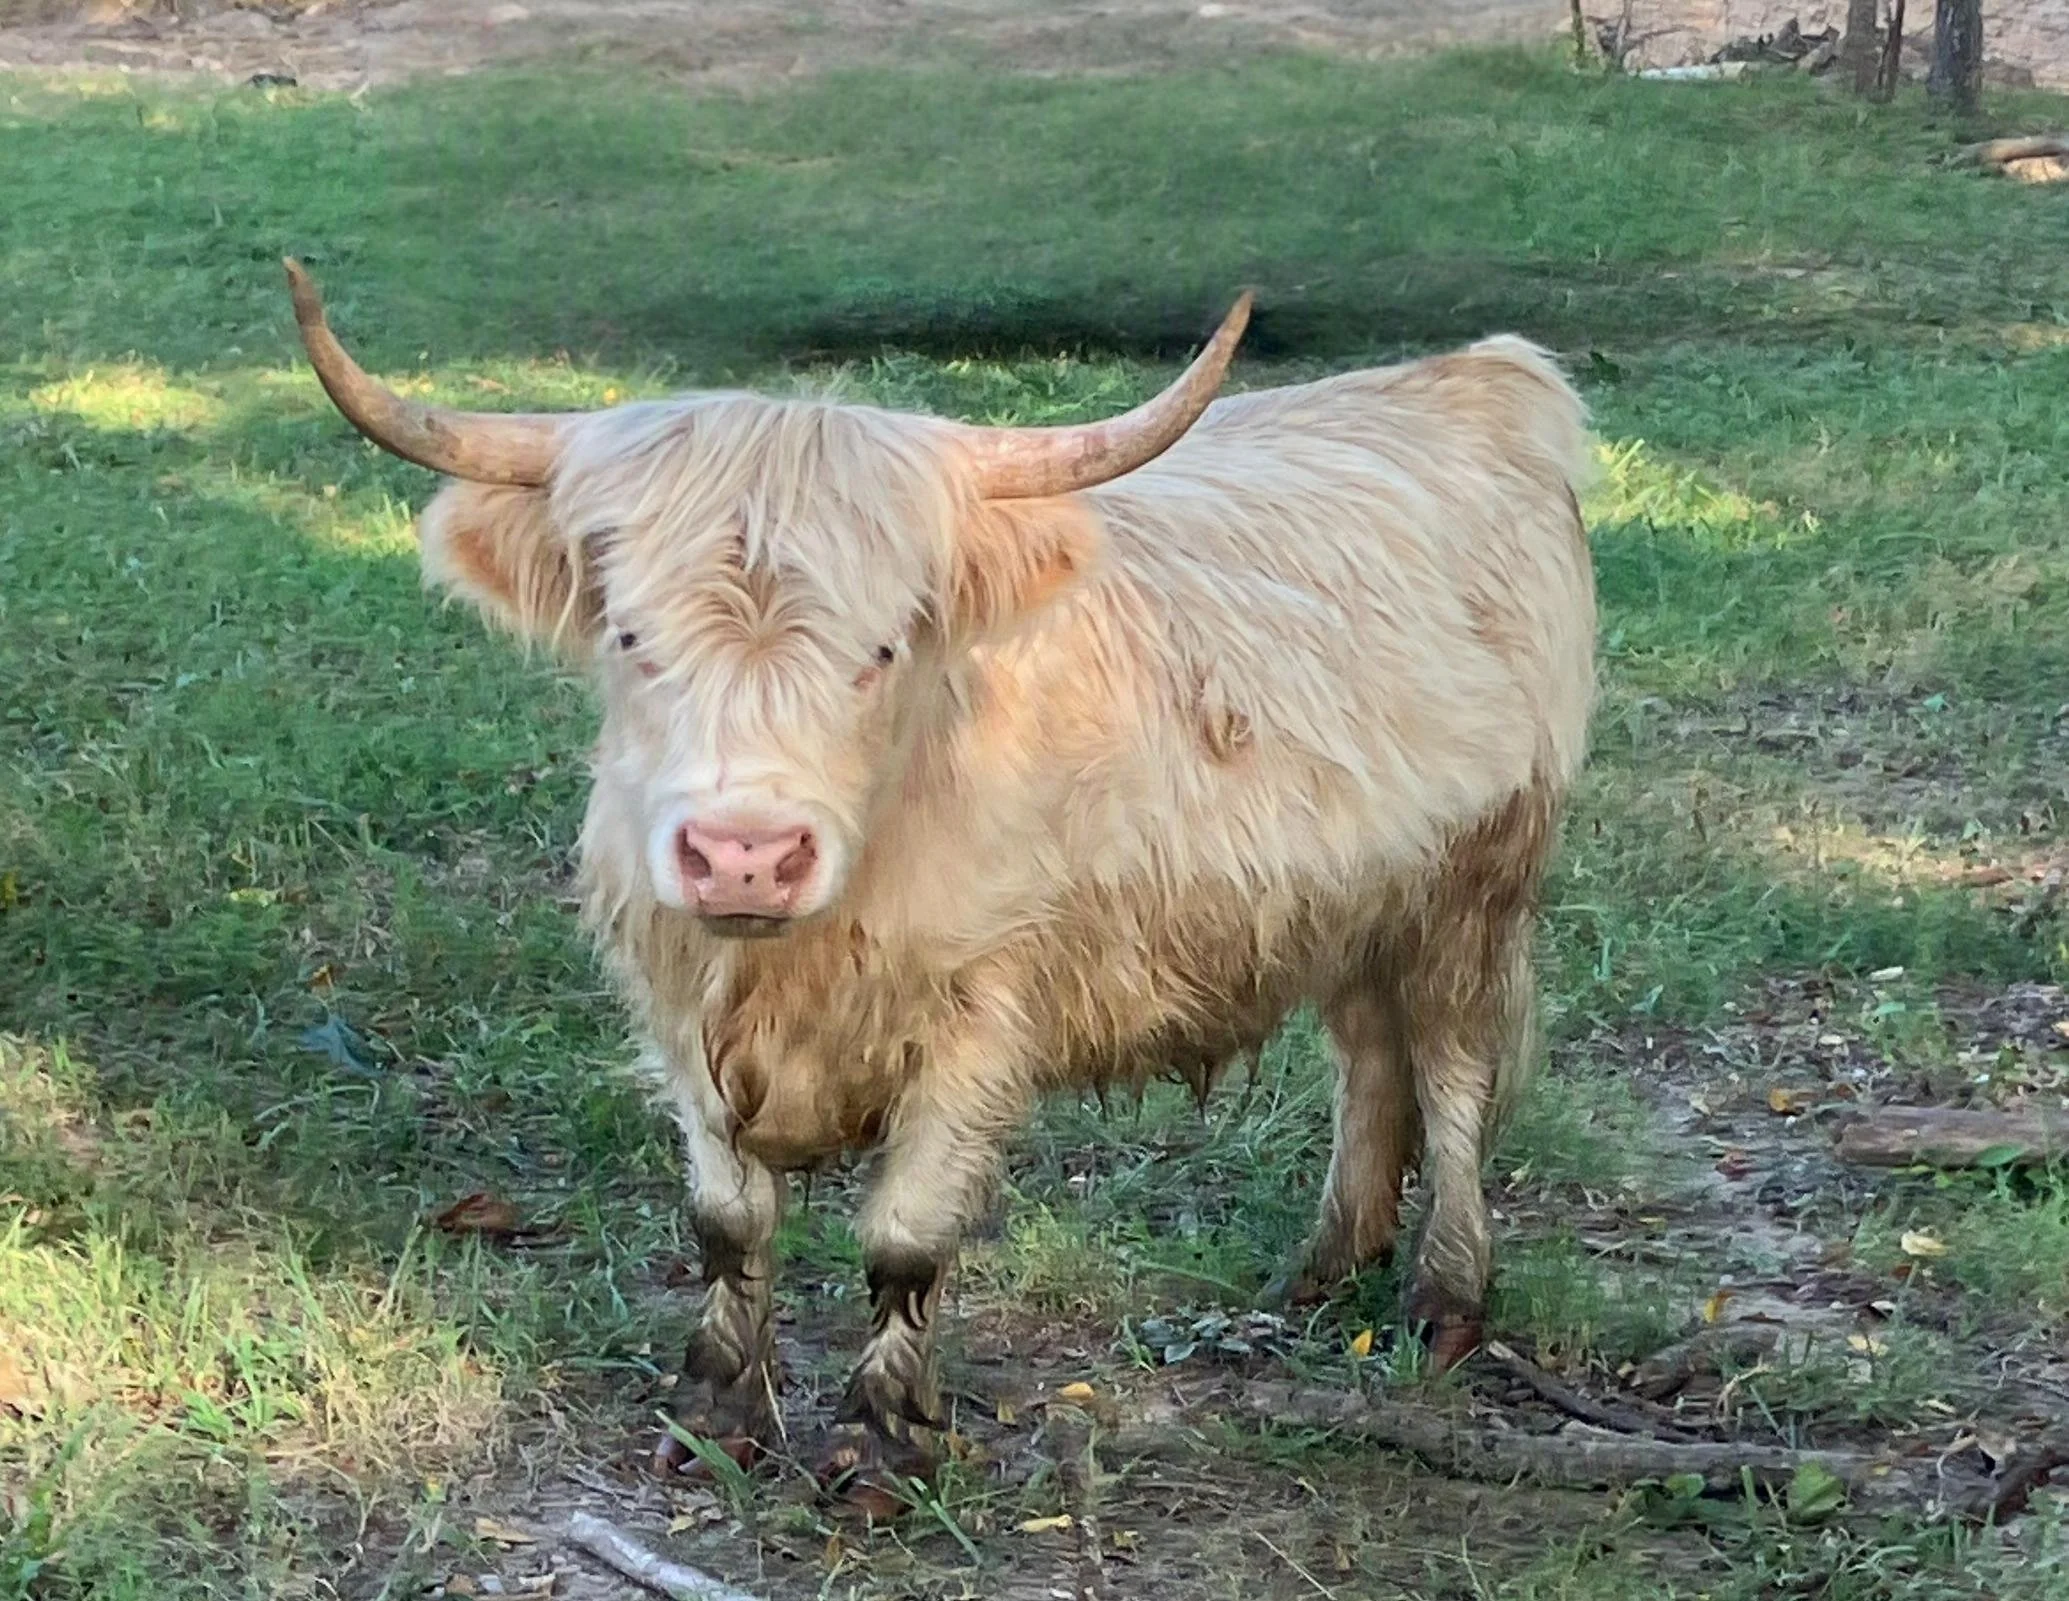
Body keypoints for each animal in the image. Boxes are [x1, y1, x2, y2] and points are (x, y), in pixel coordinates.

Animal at [281, 260, 1596, 1497]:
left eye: (879, 648)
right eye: (630, 636)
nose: (746, 852)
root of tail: (1478, 373)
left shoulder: (982, 1016)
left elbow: (904, 1237)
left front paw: (878, 1447)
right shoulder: (670, 991)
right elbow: (726, 1220)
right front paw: (712, 1418)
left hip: (1476, 882)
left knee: (1453, 1066)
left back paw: (1444, 1298)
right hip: (1354, 896)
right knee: (1369, 1054)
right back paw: (1327, 1268)